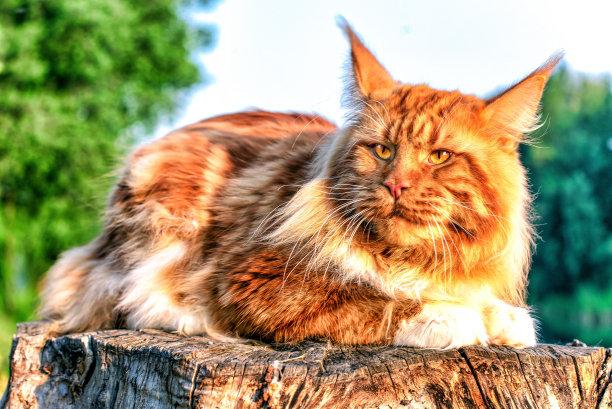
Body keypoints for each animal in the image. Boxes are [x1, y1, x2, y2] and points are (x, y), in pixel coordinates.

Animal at [39, 21, 561, 349]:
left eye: (439, 157)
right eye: (383, 151)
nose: (396, 186)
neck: (401, 257)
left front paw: (502, 320)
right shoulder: (254, 277)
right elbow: (371, 300)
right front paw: (450, 318)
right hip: (165, 223)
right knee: (124, 294)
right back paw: (184, 315)